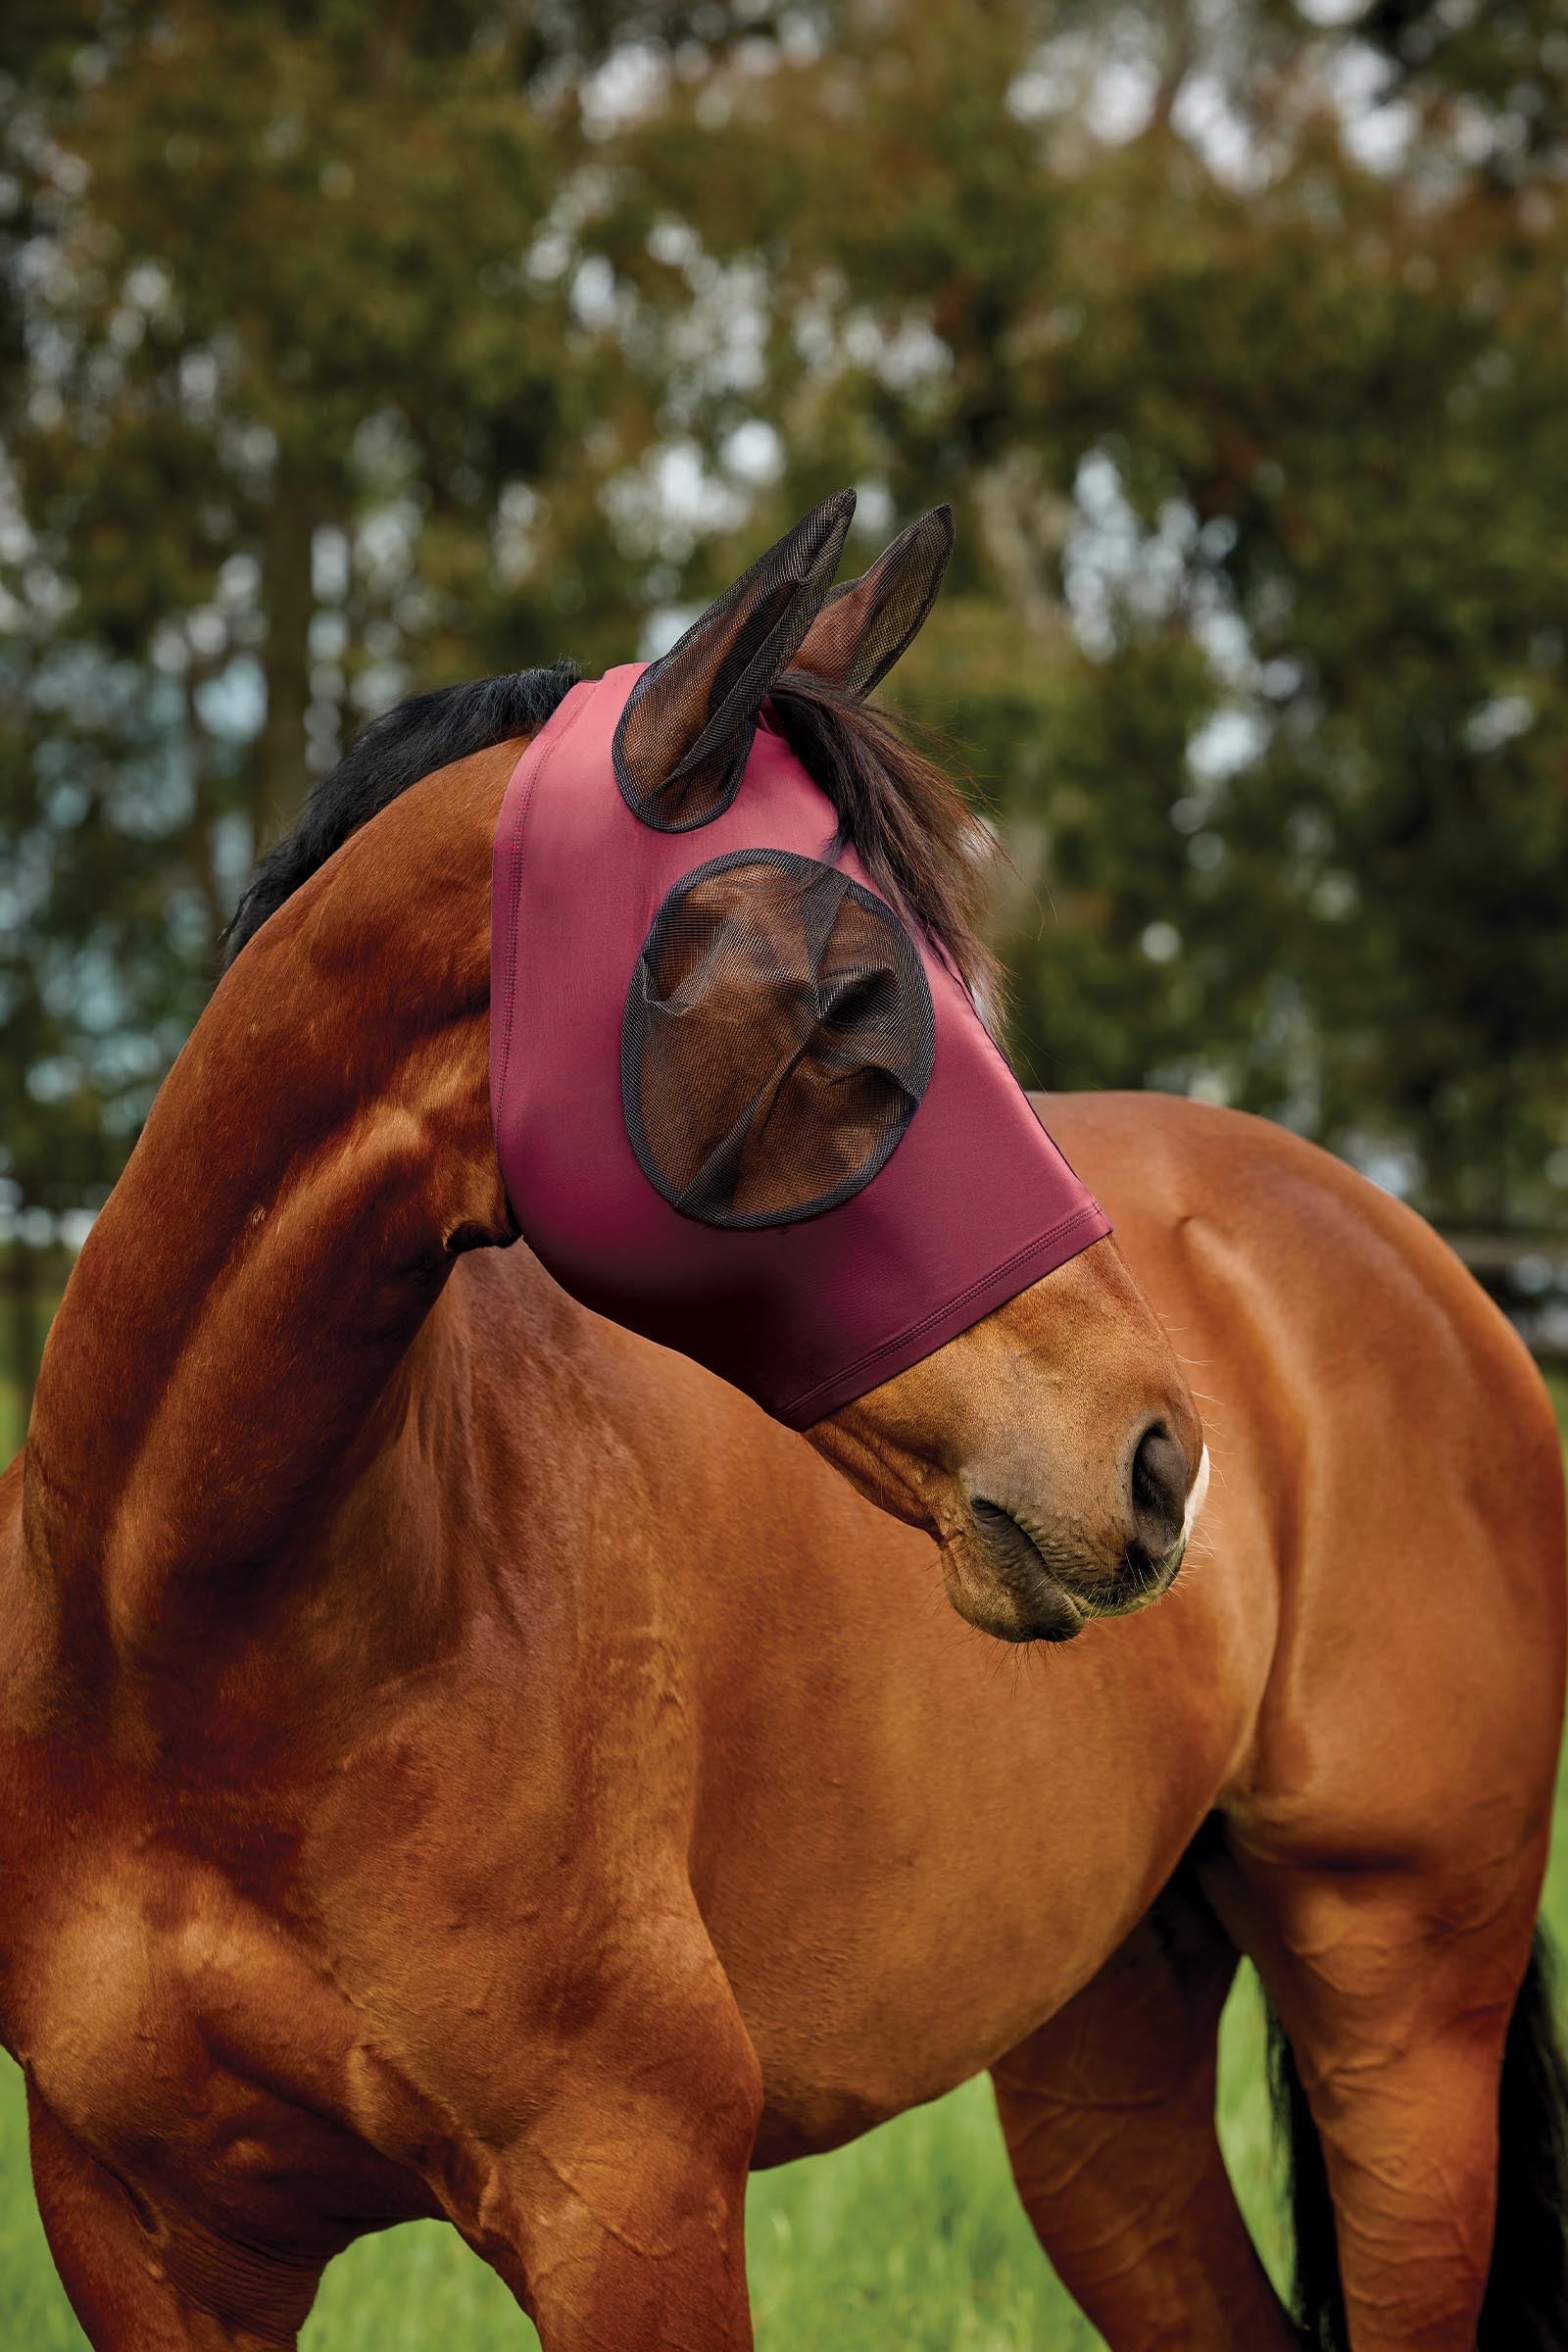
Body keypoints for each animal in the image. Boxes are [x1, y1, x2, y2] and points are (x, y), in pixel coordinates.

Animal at [2, 510, 1564, 2350]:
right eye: (844, 1000)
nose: (1162, 1461)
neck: (191, 1658)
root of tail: (1416, 1262)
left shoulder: (634, 2197)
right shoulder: (143, 2238)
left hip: (1402, 2028)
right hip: (1104, 2074)